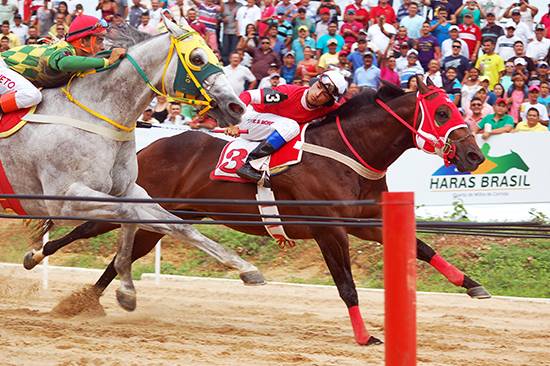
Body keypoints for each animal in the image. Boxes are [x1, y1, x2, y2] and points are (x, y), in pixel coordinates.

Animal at [1, 20, 266, 310]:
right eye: (197, 58)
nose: (237, 107)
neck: (95, 116)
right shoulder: (63, 201)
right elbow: (127, 214)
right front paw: (126, 288)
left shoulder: (130, 190)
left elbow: (178, 225)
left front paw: (246, 268)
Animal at [28, 78, 490, 344]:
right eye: (443, 111)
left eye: (458, 107)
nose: (474, 155)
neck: (346, 154)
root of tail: (152, 144)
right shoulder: (329, 230)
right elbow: (347, 286)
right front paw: (364, 337)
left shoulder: (365, 222)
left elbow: (423, 249)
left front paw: (472, 285)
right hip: (142, 206)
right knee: (84, 229)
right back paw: (36, 256)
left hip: (171, 220)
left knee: (114, 257)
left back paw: (86, 301)